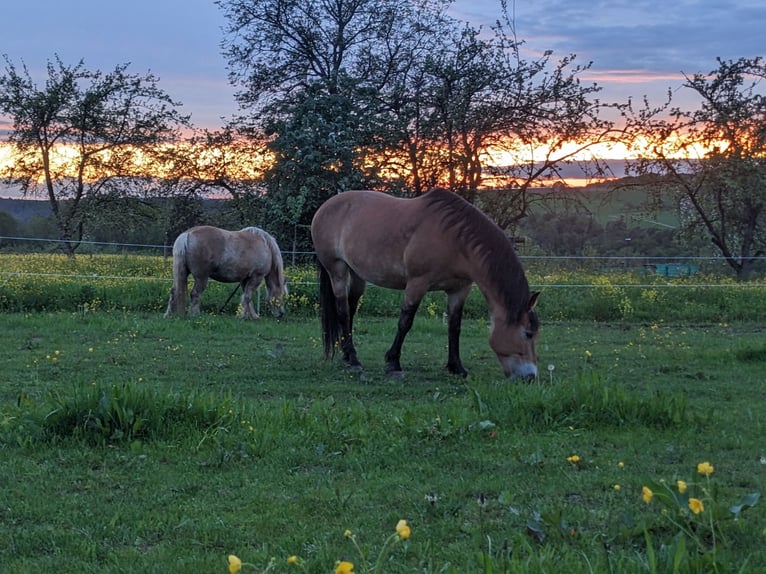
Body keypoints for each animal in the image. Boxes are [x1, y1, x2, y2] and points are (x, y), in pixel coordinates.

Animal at [310, 187, 540, 380]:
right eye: (527, 333)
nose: (530, 376)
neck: (454, 240)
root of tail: (326, 206)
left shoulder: (459, 289)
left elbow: (454, 327)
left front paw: (456, 367)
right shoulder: (417, 284)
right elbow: (405, 322)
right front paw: (393, 363)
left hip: (357, 275)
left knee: (350, 310)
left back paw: (347, 355)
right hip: (337, 270)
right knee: (342, 311)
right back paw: (353, 359)